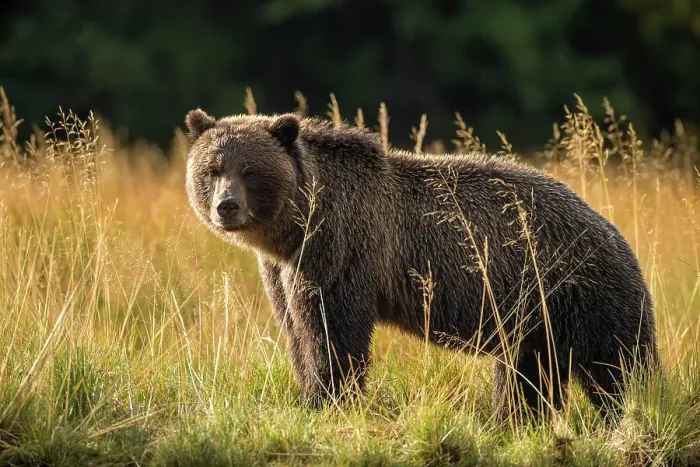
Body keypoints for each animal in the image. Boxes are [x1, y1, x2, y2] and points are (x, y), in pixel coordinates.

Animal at [184, 109, 659, 422]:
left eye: (250, 170)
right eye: (212, 169)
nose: (226, 206)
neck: (295, 227)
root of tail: (615, 233)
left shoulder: (342, 251)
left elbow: (332, 332)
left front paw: (329, 398)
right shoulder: (284, 269)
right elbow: (297, 330)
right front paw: (310, 392)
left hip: (582, 293)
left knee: (621, 366)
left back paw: (637, 410)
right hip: (536, 319)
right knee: (528, 376)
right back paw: (516, 421)